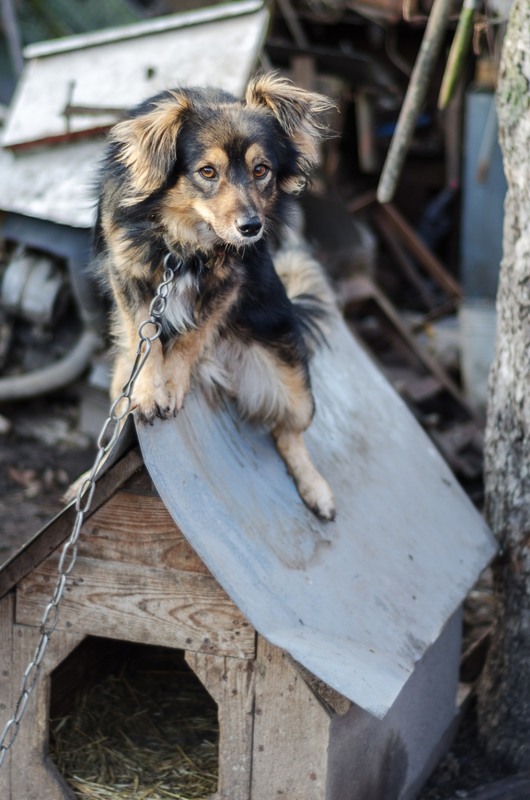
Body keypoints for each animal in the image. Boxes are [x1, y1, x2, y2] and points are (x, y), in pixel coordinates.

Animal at [92, 73, 334, 520]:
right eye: (207, 172)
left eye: (261, 170)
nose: (251, 227)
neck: (185, 242)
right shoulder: (127, 273)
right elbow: (145, 339)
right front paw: (151, 391)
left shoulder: (231, 283)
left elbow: (191, 337)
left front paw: (171, 384)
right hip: (119, 386)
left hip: (292, 382)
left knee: (288, 432)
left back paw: (315, 488)